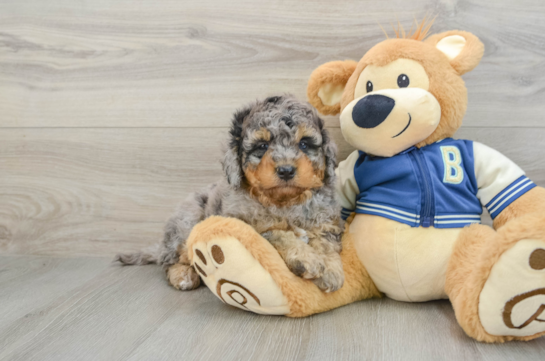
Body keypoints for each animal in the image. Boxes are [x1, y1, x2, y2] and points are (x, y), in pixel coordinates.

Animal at [116, 94, 342, 292]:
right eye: (262, 146)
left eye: (304, 143)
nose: (286, 170)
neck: (285, 202)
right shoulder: (247, 227)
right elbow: (278, 234)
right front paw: (307, 259)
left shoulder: (326, 222)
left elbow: (326, 243)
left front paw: (331, 271)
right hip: (186, 224)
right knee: (171, 260)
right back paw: (183, 276)